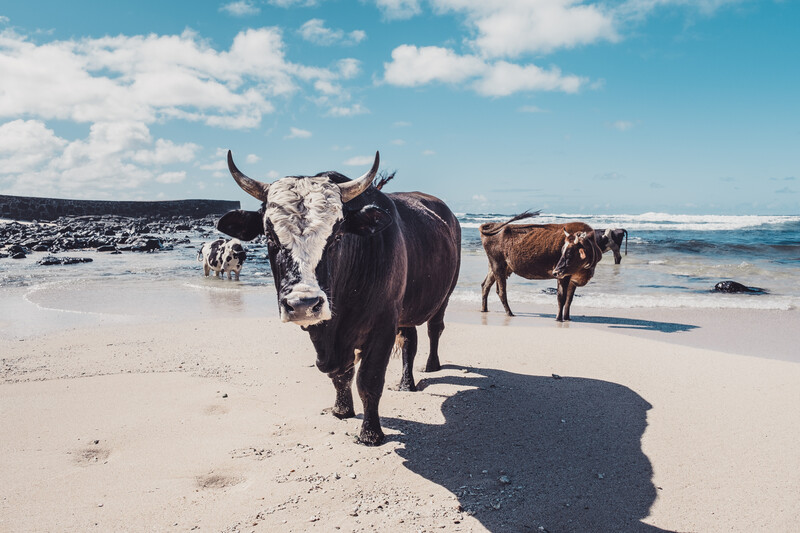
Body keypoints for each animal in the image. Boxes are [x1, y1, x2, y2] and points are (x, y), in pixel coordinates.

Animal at [216, 151, 461, 445]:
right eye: (270, 237)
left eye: (336, 236)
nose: (303, 304)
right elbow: (340, 375)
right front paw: (342, 410)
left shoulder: (382, 325)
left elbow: (369, 380)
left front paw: (370, 433)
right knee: (409, 341)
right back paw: (406, 383)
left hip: (445, 295)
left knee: (435, 329)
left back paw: (431, 366)